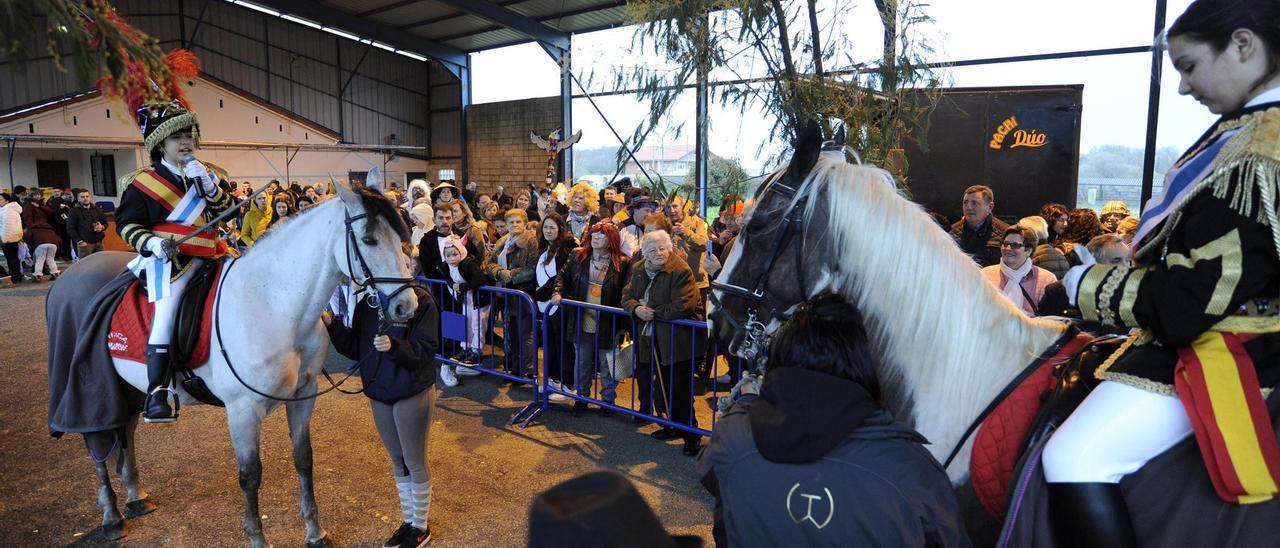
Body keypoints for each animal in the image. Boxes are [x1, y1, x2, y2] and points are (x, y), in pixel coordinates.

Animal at [43, 181, 414, 545]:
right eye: (369, 240)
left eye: (402, 236)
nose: (405, 306)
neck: (273, 302)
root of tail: (73, 274)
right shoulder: (243, 410)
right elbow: (250, 475)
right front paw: (258, 539)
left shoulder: (302, 397)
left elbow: (303, 459)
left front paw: (315, 532)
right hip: (87, 385)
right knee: (96, 439)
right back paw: (111, 516)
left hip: (124, 387)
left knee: (125, 430)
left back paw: (135, 497)